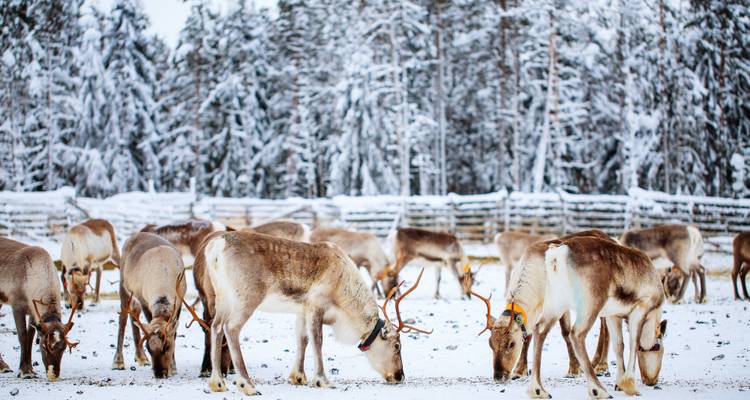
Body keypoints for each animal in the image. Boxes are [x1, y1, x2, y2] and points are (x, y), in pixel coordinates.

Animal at [0, 237, 79, 381]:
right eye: (44, 346)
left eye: (64, 348)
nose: (53, 374)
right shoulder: (17, 305)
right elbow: (23, 336)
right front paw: (25, 372)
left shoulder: (33, 312)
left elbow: (30, 338)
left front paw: (29, 369)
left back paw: (3, 366)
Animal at [112, 232, 186, 379]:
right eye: (148, 347)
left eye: (167, 346)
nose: (159, 373)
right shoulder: (144, 300)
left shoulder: (180, 302)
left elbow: (174, 333)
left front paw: (173, 368)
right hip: (124, 288)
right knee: (123, 319)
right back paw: (118, 362)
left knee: (134, 313)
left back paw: (141, 358)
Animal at [192, 230, 430, 395]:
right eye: (397, 346)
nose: (400, 376)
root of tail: (215, 247)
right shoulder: (316, 305)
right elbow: (318, 341)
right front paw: (322, 379)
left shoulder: (302, 310)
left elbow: (302, 339)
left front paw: (298, 377)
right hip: (246, 297)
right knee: (231, 328)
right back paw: (247, 384)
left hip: (221, 297)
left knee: (215, 327)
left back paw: (217, 382)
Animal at [472, 230, 613, 383]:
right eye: (490, 343)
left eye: (511, 344)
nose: (499, 376)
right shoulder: (535, 310)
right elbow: (528, 335)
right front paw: (520, 370)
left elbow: (566, 332)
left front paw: (574, 370)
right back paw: (595, 363)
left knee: (605, 327)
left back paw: (601, 366)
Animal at [529, 236, 666, 399]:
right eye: (660, 349)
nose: (652, 381)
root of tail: (558, 254)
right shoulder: (640, 309)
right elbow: (633, 343)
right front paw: (630, 385)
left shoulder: (612, 316)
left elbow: (619, 346)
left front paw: (619, 383)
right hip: (590, 304)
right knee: (577, 334)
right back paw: (598, 390)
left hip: (556, 303)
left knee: (539, 329)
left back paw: (539, 390)